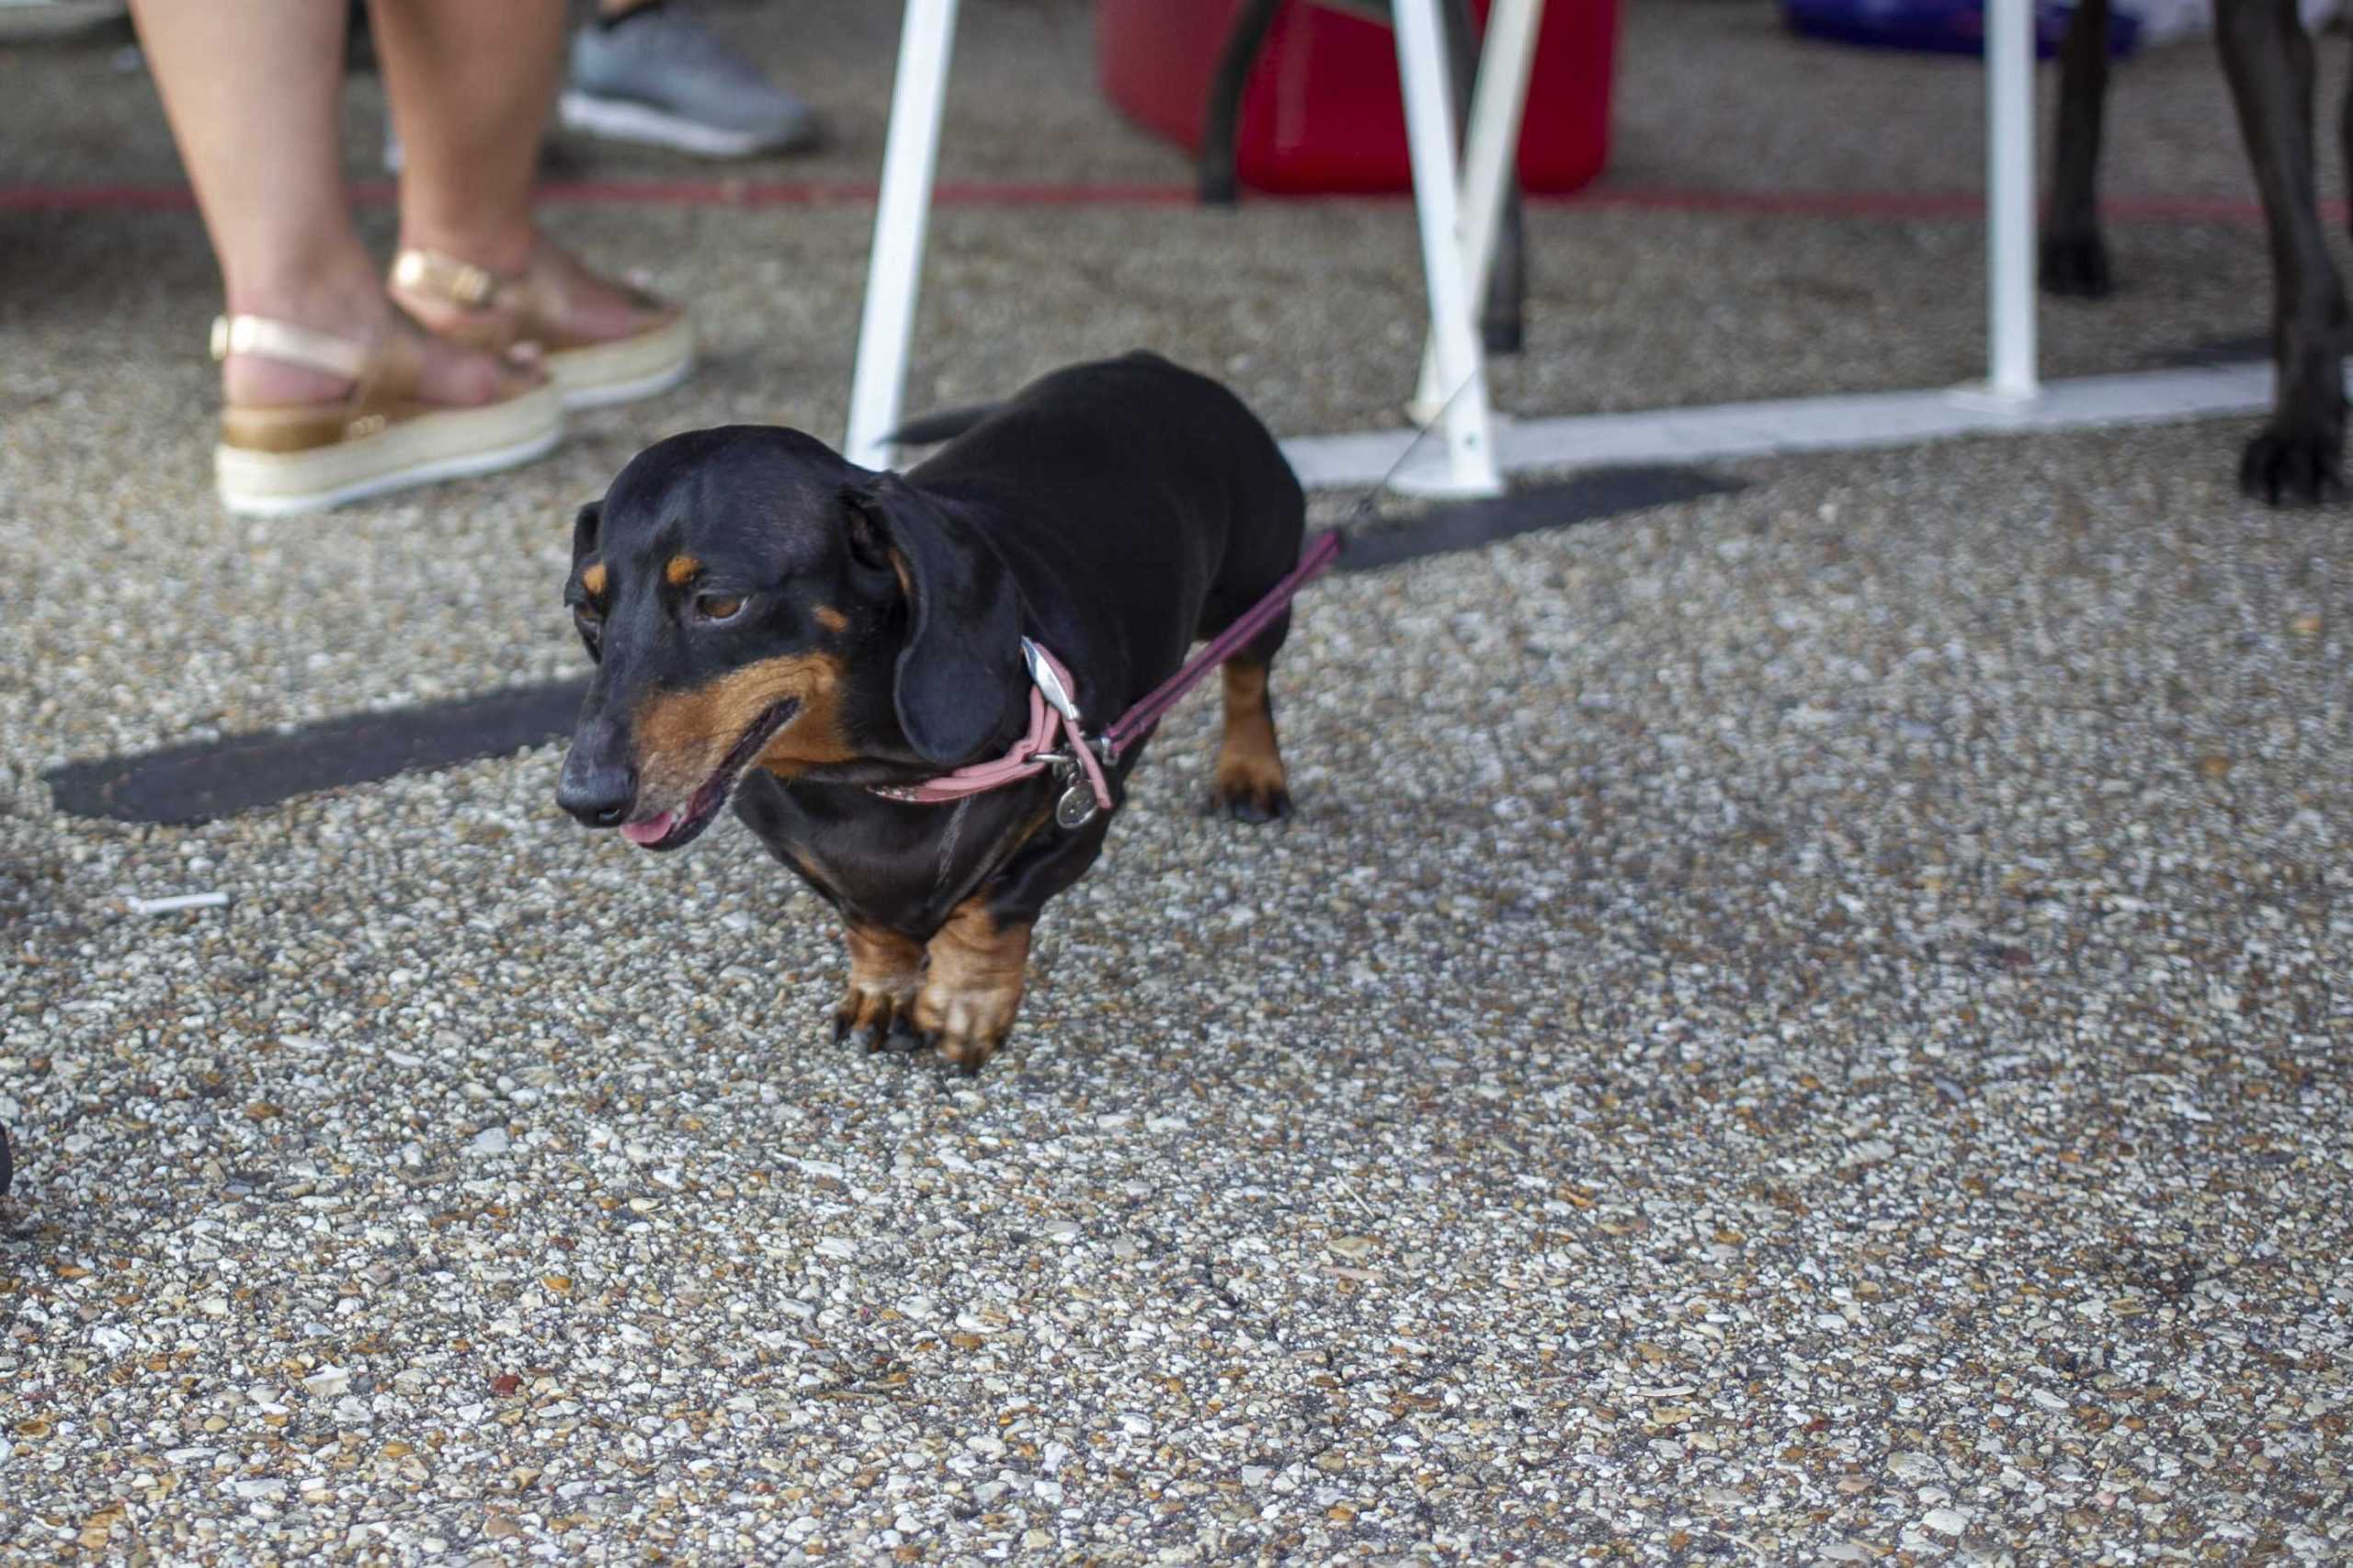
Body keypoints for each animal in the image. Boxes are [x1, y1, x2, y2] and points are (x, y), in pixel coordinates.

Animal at [562, 350, 1317, 1063]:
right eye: (586, 609)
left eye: (719, 602)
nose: (584, 800)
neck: (875, 778)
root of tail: (1147, 363)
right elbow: (869, 924)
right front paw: (885, 992)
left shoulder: (1081, 802)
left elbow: (989, 911)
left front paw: (965, 1003)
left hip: (1257, 586)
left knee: (1248, 675)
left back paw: (1251, 773)